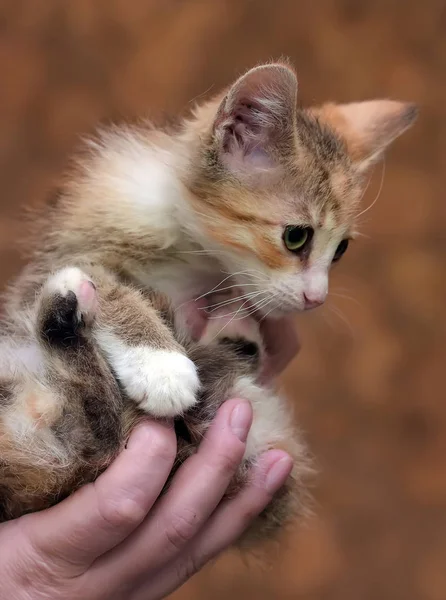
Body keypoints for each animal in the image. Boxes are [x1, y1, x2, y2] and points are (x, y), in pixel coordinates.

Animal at [0, 62, 416, 544]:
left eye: (342, 249)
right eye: (296, 236)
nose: (316, 297)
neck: (195, 254)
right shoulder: (56, 259)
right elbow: (107, 281)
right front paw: (160, 363)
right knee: (96, 437)